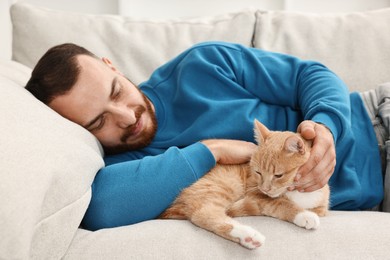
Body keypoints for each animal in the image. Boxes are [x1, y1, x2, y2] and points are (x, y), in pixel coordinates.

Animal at [161, 120, 330, 250]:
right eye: (258, 172)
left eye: (278, 175)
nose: (265, 189)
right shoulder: (255, 195)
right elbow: (281, 203)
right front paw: (304, 215)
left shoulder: (322, 208)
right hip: (224, 185)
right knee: (203, 213)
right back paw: (248, 236)